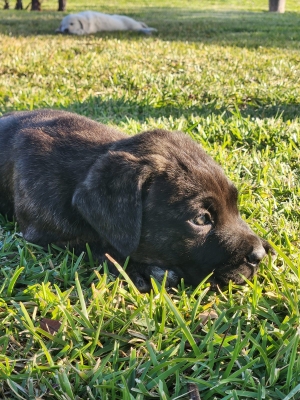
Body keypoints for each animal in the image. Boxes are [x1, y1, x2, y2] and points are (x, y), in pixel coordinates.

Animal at [0, 108, 272, 290]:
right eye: (201, 219)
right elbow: (94, 246)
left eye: (235, 205)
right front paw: (140, 269)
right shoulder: (43, 234)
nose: (258, 256)